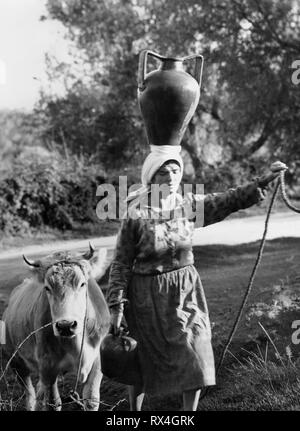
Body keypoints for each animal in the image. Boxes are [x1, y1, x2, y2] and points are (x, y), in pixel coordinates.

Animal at [2, 246, 110, 412]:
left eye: (82, 284)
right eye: (47, 288)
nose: (66, 325)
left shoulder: (97, 359)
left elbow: (91, 399)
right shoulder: (48, 366)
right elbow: (53, 403)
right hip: (15, 361)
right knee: (30, 394)